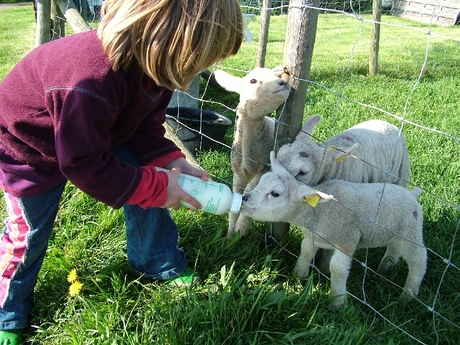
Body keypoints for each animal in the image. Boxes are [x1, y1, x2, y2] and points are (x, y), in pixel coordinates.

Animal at [213, 66, 292, 238]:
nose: (283, 83)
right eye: (253, 81)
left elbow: (250, 191)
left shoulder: (265, 168)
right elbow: (235, 204)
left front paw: (241, 228)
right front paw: (229, 236)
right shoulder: (238, 173)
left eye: (275, 74)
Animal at [243, 152, 426, 308]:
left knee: (418, 260)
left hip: (411, 232)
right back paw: (385, 268)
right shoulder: (314, 236)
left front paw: (336, 301)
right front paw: (299, 275)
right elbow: (306, 251)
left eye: (275, 193)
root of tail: (412, 194)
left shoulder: (348, 238)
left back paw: (408, 295)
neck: (317, 211)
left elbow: (337, 268)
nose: (244, 198)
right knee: (394, 249)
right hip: (395, 232)